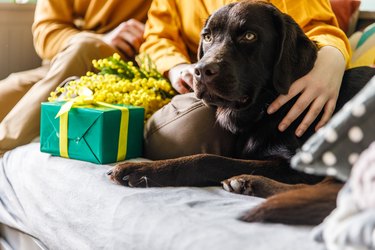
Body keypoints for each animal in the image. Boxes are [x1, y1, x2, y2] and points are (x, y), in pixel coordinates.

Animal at [108, 0, 375, 226]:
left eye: (249, 36)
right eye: (207, 37)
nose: (200, 70)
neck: (265, 108)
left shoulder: (300, 164)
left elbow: (209, 159)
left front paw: (141, 170)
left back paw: (248, 182)